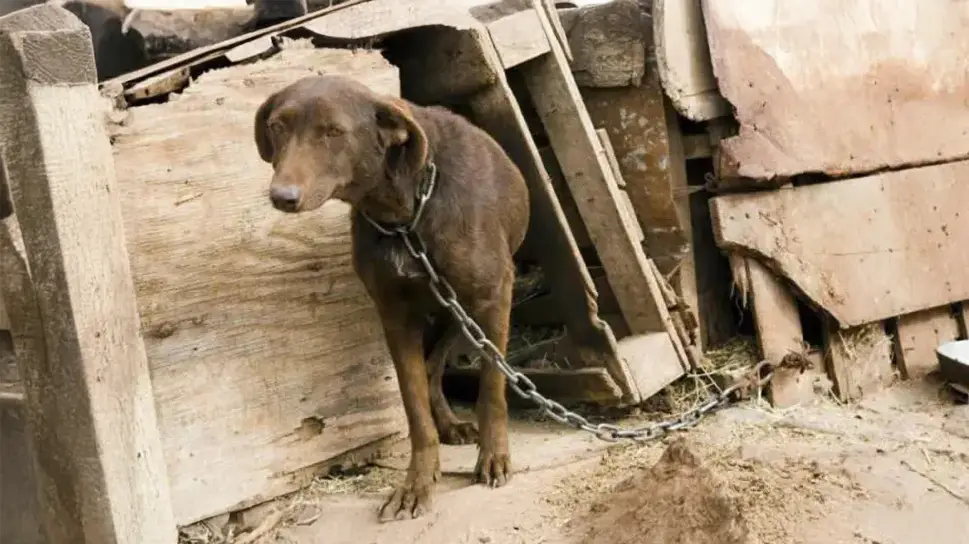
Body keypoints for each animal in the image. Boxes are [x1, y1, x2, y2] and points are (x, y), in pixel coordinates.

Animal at [253, 74, 528, 520]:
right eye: (278, 127)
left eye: (333, 132)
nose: (283, 196)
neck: (405, 214)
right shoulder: (395, 317)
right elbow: (414, 406)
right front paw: (417, 483)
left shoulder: (493, 298)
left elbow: (492, 388)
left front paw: (493, 457)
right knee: (431, 370)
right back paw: (448, 425)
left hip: (460, 313)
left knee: (441, 364)